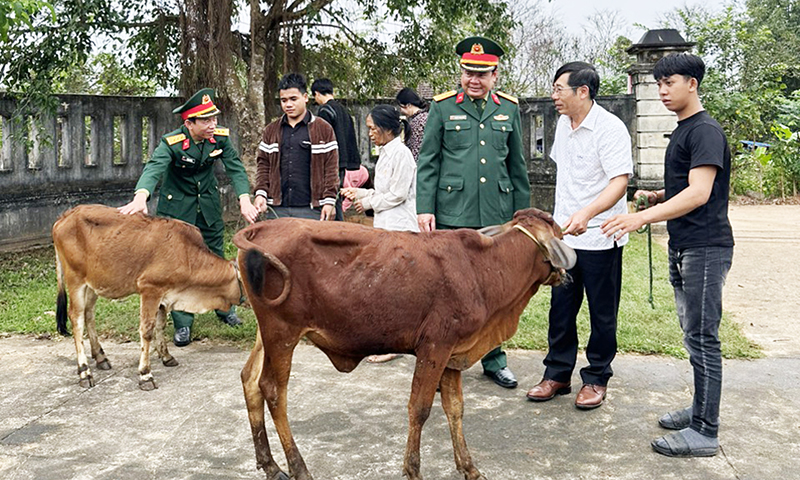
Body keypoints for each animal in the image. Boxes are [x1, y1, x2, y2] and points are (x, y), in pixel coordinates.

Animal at [52, 205, 245, 390]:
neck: (187, 254)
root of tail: (63, 217)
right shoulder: (150, 290)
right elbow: (147, 330)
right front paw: (145, 374)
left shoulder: (164, 296)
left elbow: (160, 325)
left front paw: (166, 356)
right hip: (75, 280)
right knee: (76, 319)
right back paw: (84, 372)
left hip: (93, 284)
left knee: (89, 314)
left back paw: (101, 358)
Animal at [231, 208, 576, 480]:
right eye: (559, 234)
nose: (565, 276)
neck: (483, 269)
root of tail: (262, 228)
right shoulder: (435, 347)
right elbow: (419, 409)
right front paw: (413, 469)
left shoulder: (454, 353)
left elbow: (455, 408)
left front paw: (469, 467)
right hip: (282, 333)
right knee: (273, 390)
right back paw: (298, 468)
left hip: (267, 334)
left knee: (249, 379)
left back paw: (271, 465)